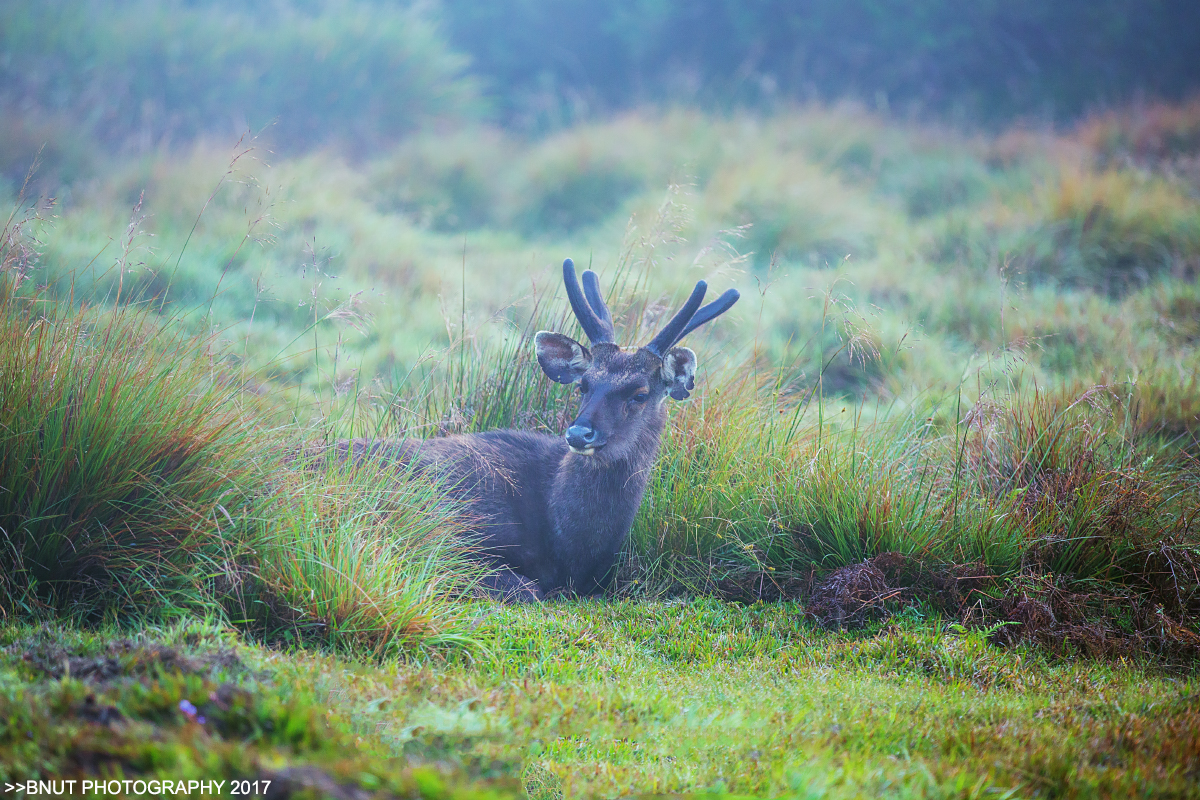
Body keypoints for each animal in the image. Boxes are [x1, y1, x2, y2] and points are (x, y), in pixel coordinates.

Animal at [333, 257, 734, 599]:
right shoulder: (455, 531)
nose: (579, 434)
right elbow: (527, 588)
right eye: (583, 385)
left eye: (640, 394)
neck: (570, 548)